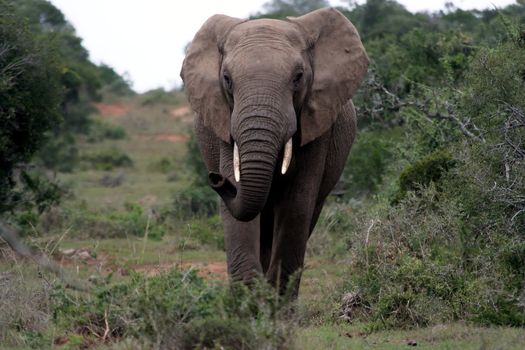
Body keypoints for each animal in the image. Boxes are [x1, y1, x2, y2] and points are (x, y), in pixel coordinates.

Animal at [182, 7, 366, 296]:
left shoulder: (317, 123)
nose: (215, 178)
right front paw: (248, 299)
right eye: (227, 80)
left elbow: (297, 203)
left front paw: (274, 301)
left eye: (298, 77)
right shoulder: (223, 119)